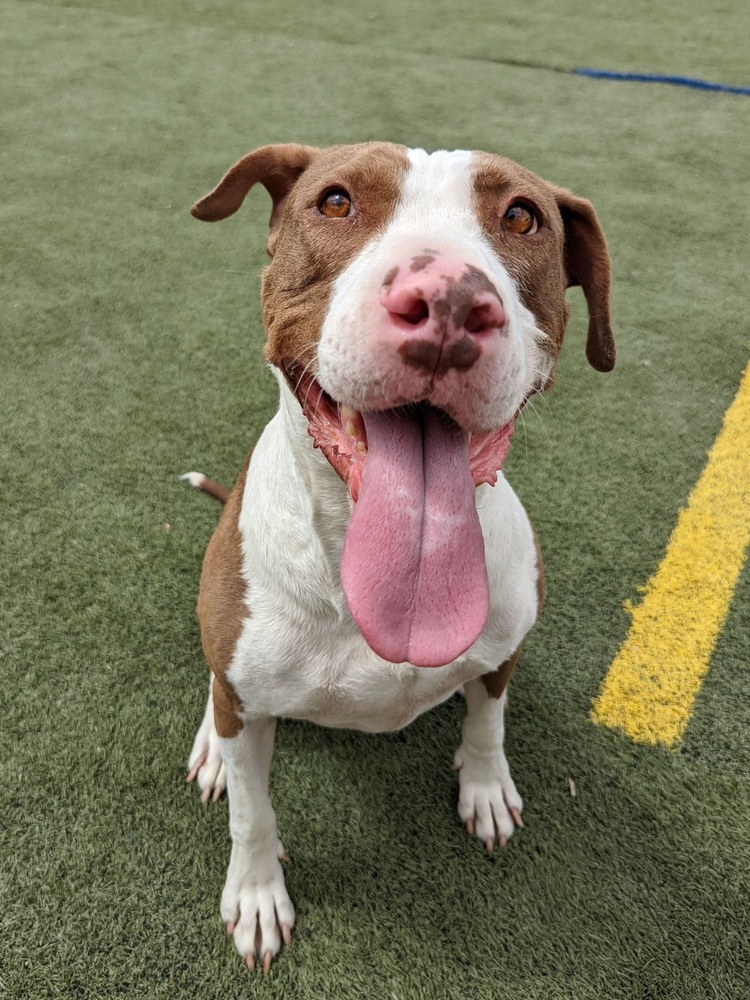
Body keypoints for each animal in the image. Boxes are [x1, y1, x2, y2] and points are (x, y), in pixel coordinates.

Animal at [184, 141, 616, 968]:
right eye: (335, 202)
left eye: (523, 217)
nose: (448, 300)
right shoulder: (246, 701)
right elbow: (253, 814)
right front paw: (255, 894)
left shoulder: (505, 643)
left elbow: (489, 719)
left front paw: (485, 786)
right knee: (218, 696)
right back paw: (212, 750)